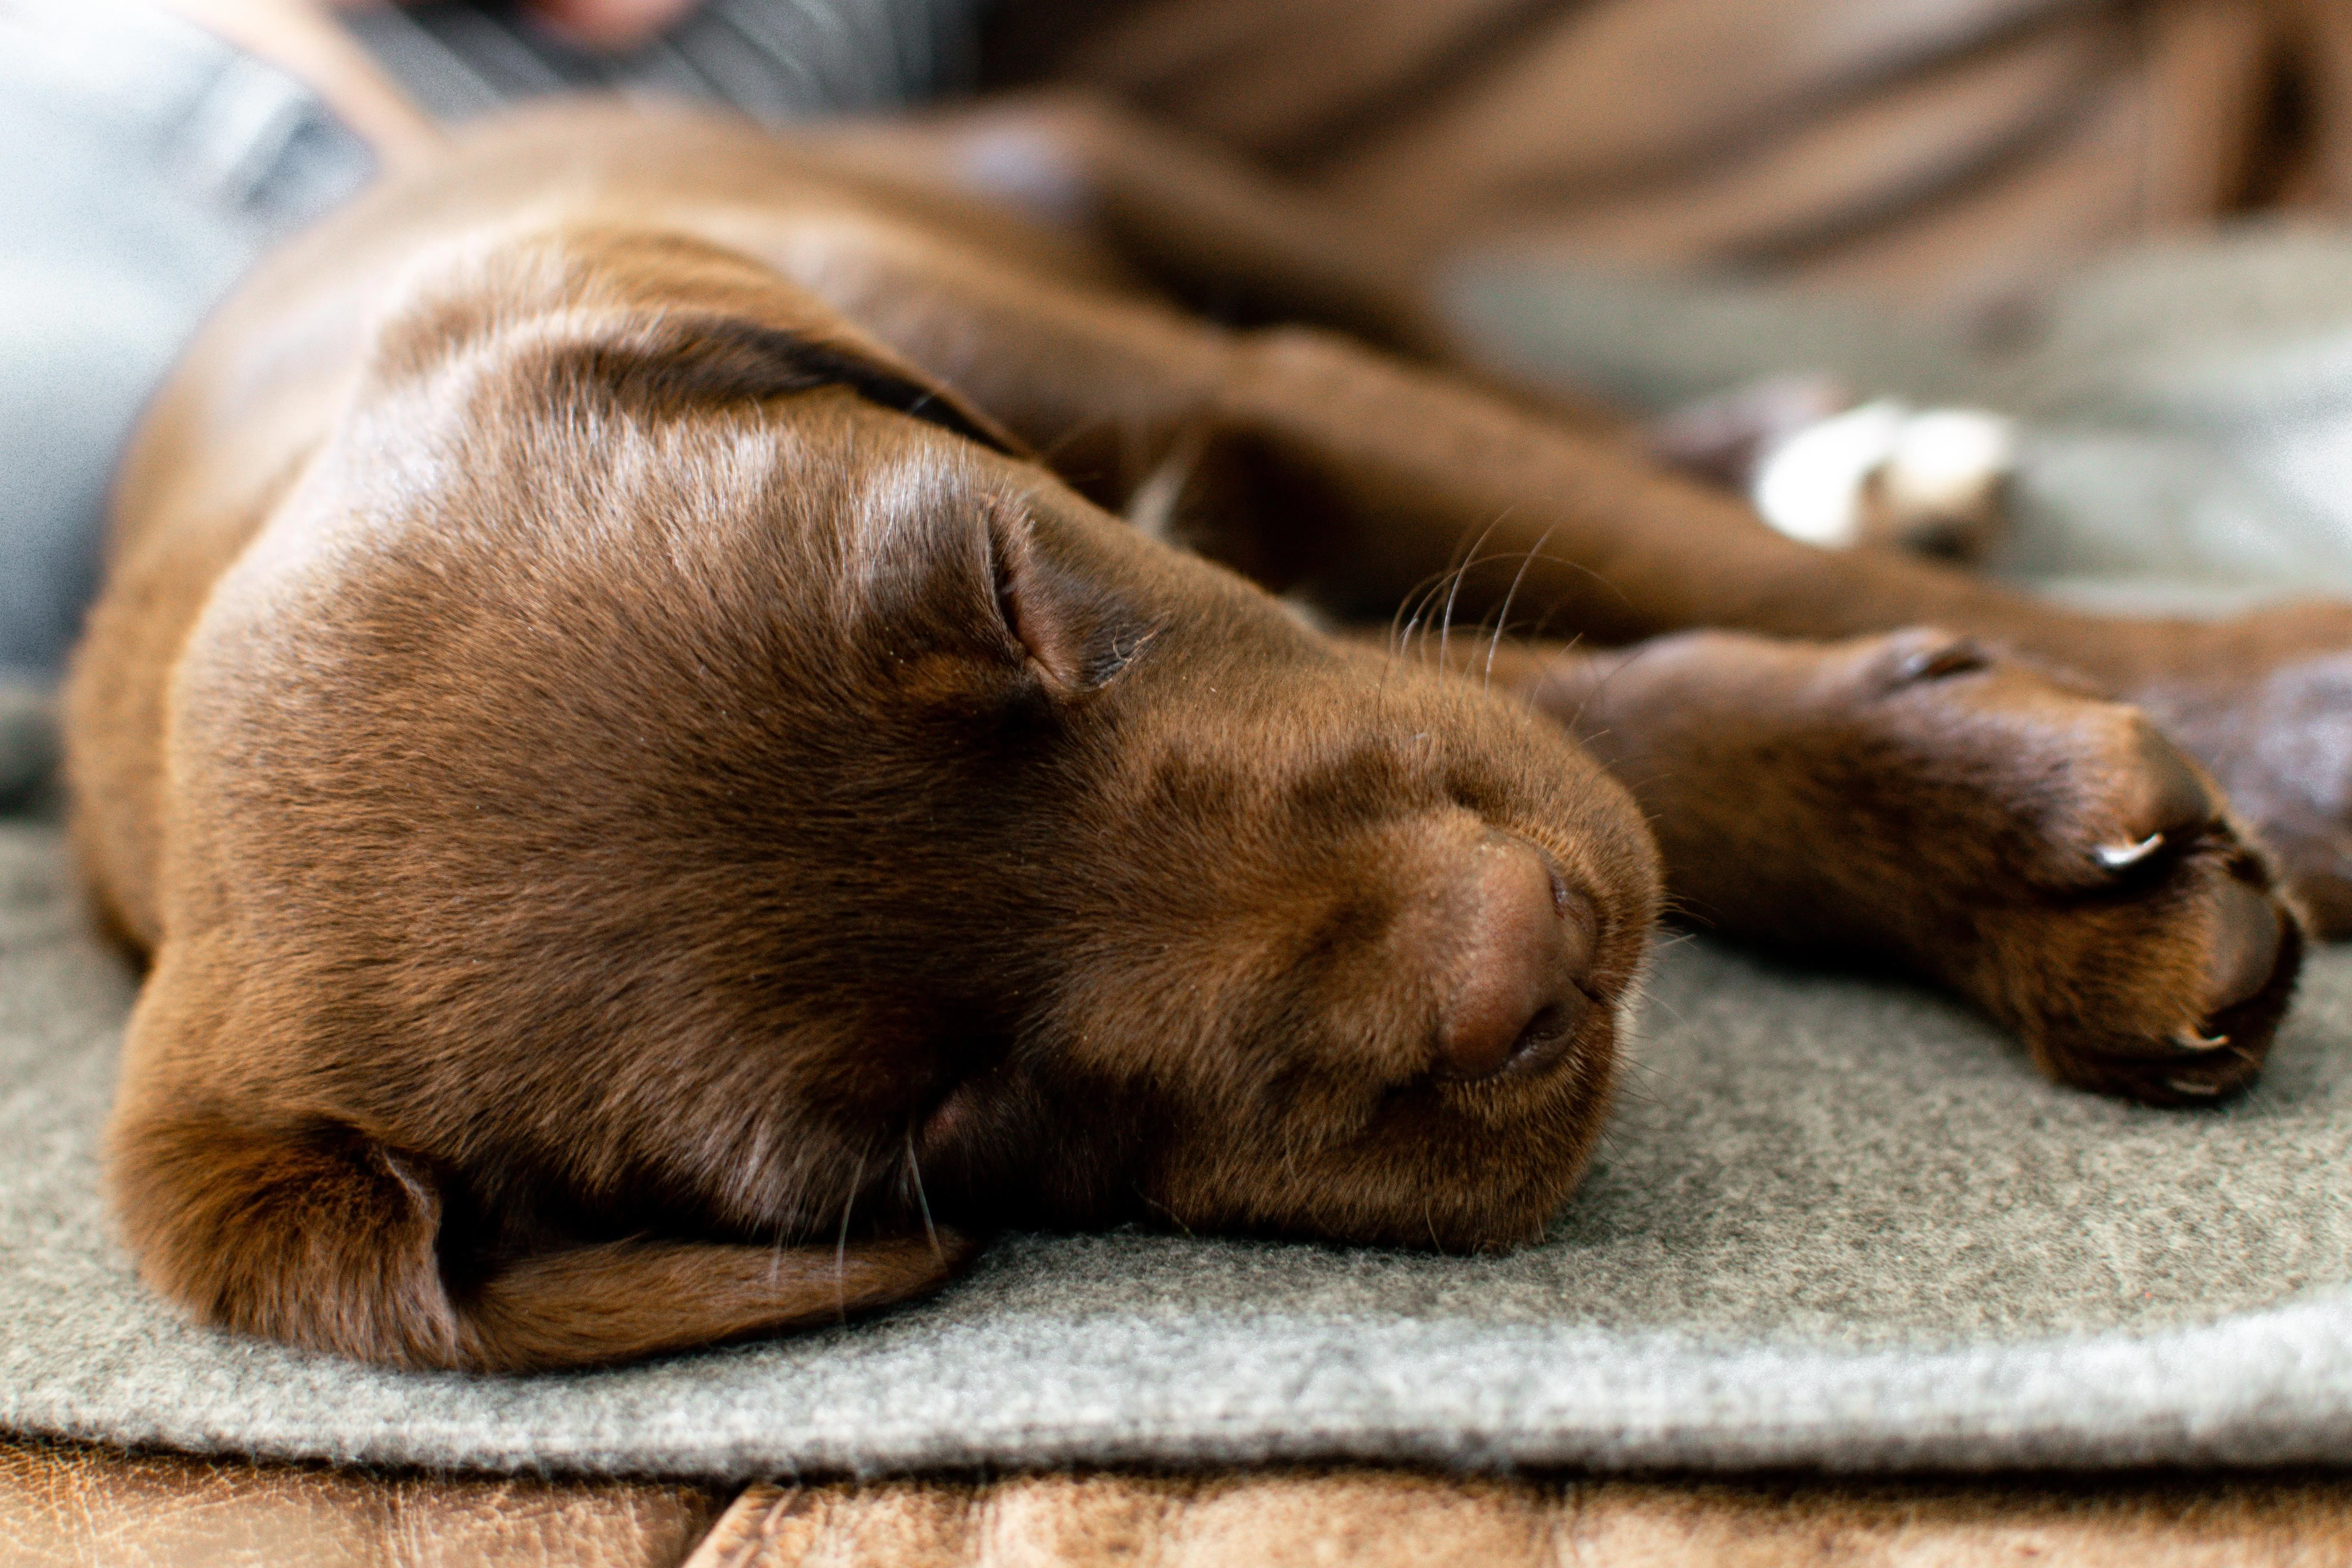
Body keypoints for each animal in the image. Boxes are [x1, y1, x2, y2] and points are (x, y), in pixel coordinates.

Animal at [64, 98, 2342, 1373]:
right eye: (924, 1131)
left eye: (995, 581)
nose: (1523, 957)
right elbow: (1627, 717)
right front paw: (2036, 858)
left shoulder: (1256, 405)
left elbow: (1665, 596)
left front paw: (2275, 725)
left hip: (1181, 209)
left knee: (1551, 400)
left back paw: (1846, 452)